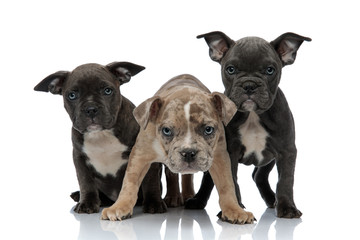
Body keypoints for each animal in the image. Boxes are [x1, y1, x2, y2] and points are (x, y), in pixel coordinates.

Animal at [34, 62, 167, 214]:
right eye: (72, 95)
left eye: (107, 91)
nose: (91, 109)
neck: (101, 134)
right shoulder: (79, 157)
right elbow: (85, 181)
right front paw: (87, 203)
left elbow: (150, 180)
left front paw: (153, 203)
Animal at [187, 31, 310, 218]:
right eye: (230, 69)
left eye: (270, 70)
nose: (249, 85)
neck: (252, 115)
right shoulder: (229, 152)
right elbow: (231, 180)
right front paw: (236, 209)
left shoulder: (286, 151)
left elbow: (285, 180)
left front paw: (287, 208)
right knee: (209, 180)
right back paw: (197, 201)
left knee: (258, 175)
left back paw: (272, 199)